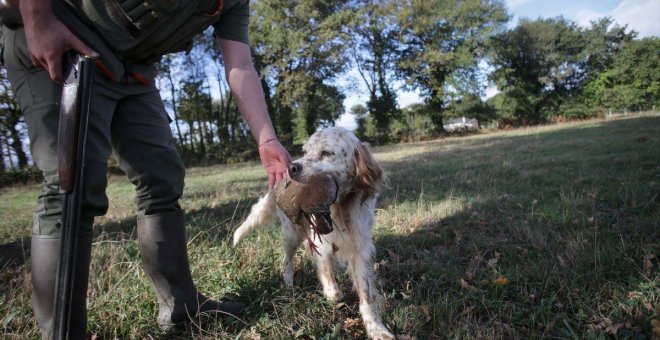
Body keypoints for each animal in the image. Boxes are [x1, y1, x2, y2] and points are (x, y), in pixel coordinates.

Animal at [235, 126, 394, 338]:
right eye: (305, 151)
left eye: (326, 153)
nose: (292, 167)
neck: (341, 208)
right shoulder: (321, 243)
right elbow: (330, 280)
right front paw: (331, 293)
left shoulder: (359, 249)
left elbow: (366, 294)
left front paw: (375, 328)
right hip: (291, 233)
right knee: (287, 260)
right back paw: (289, 283)